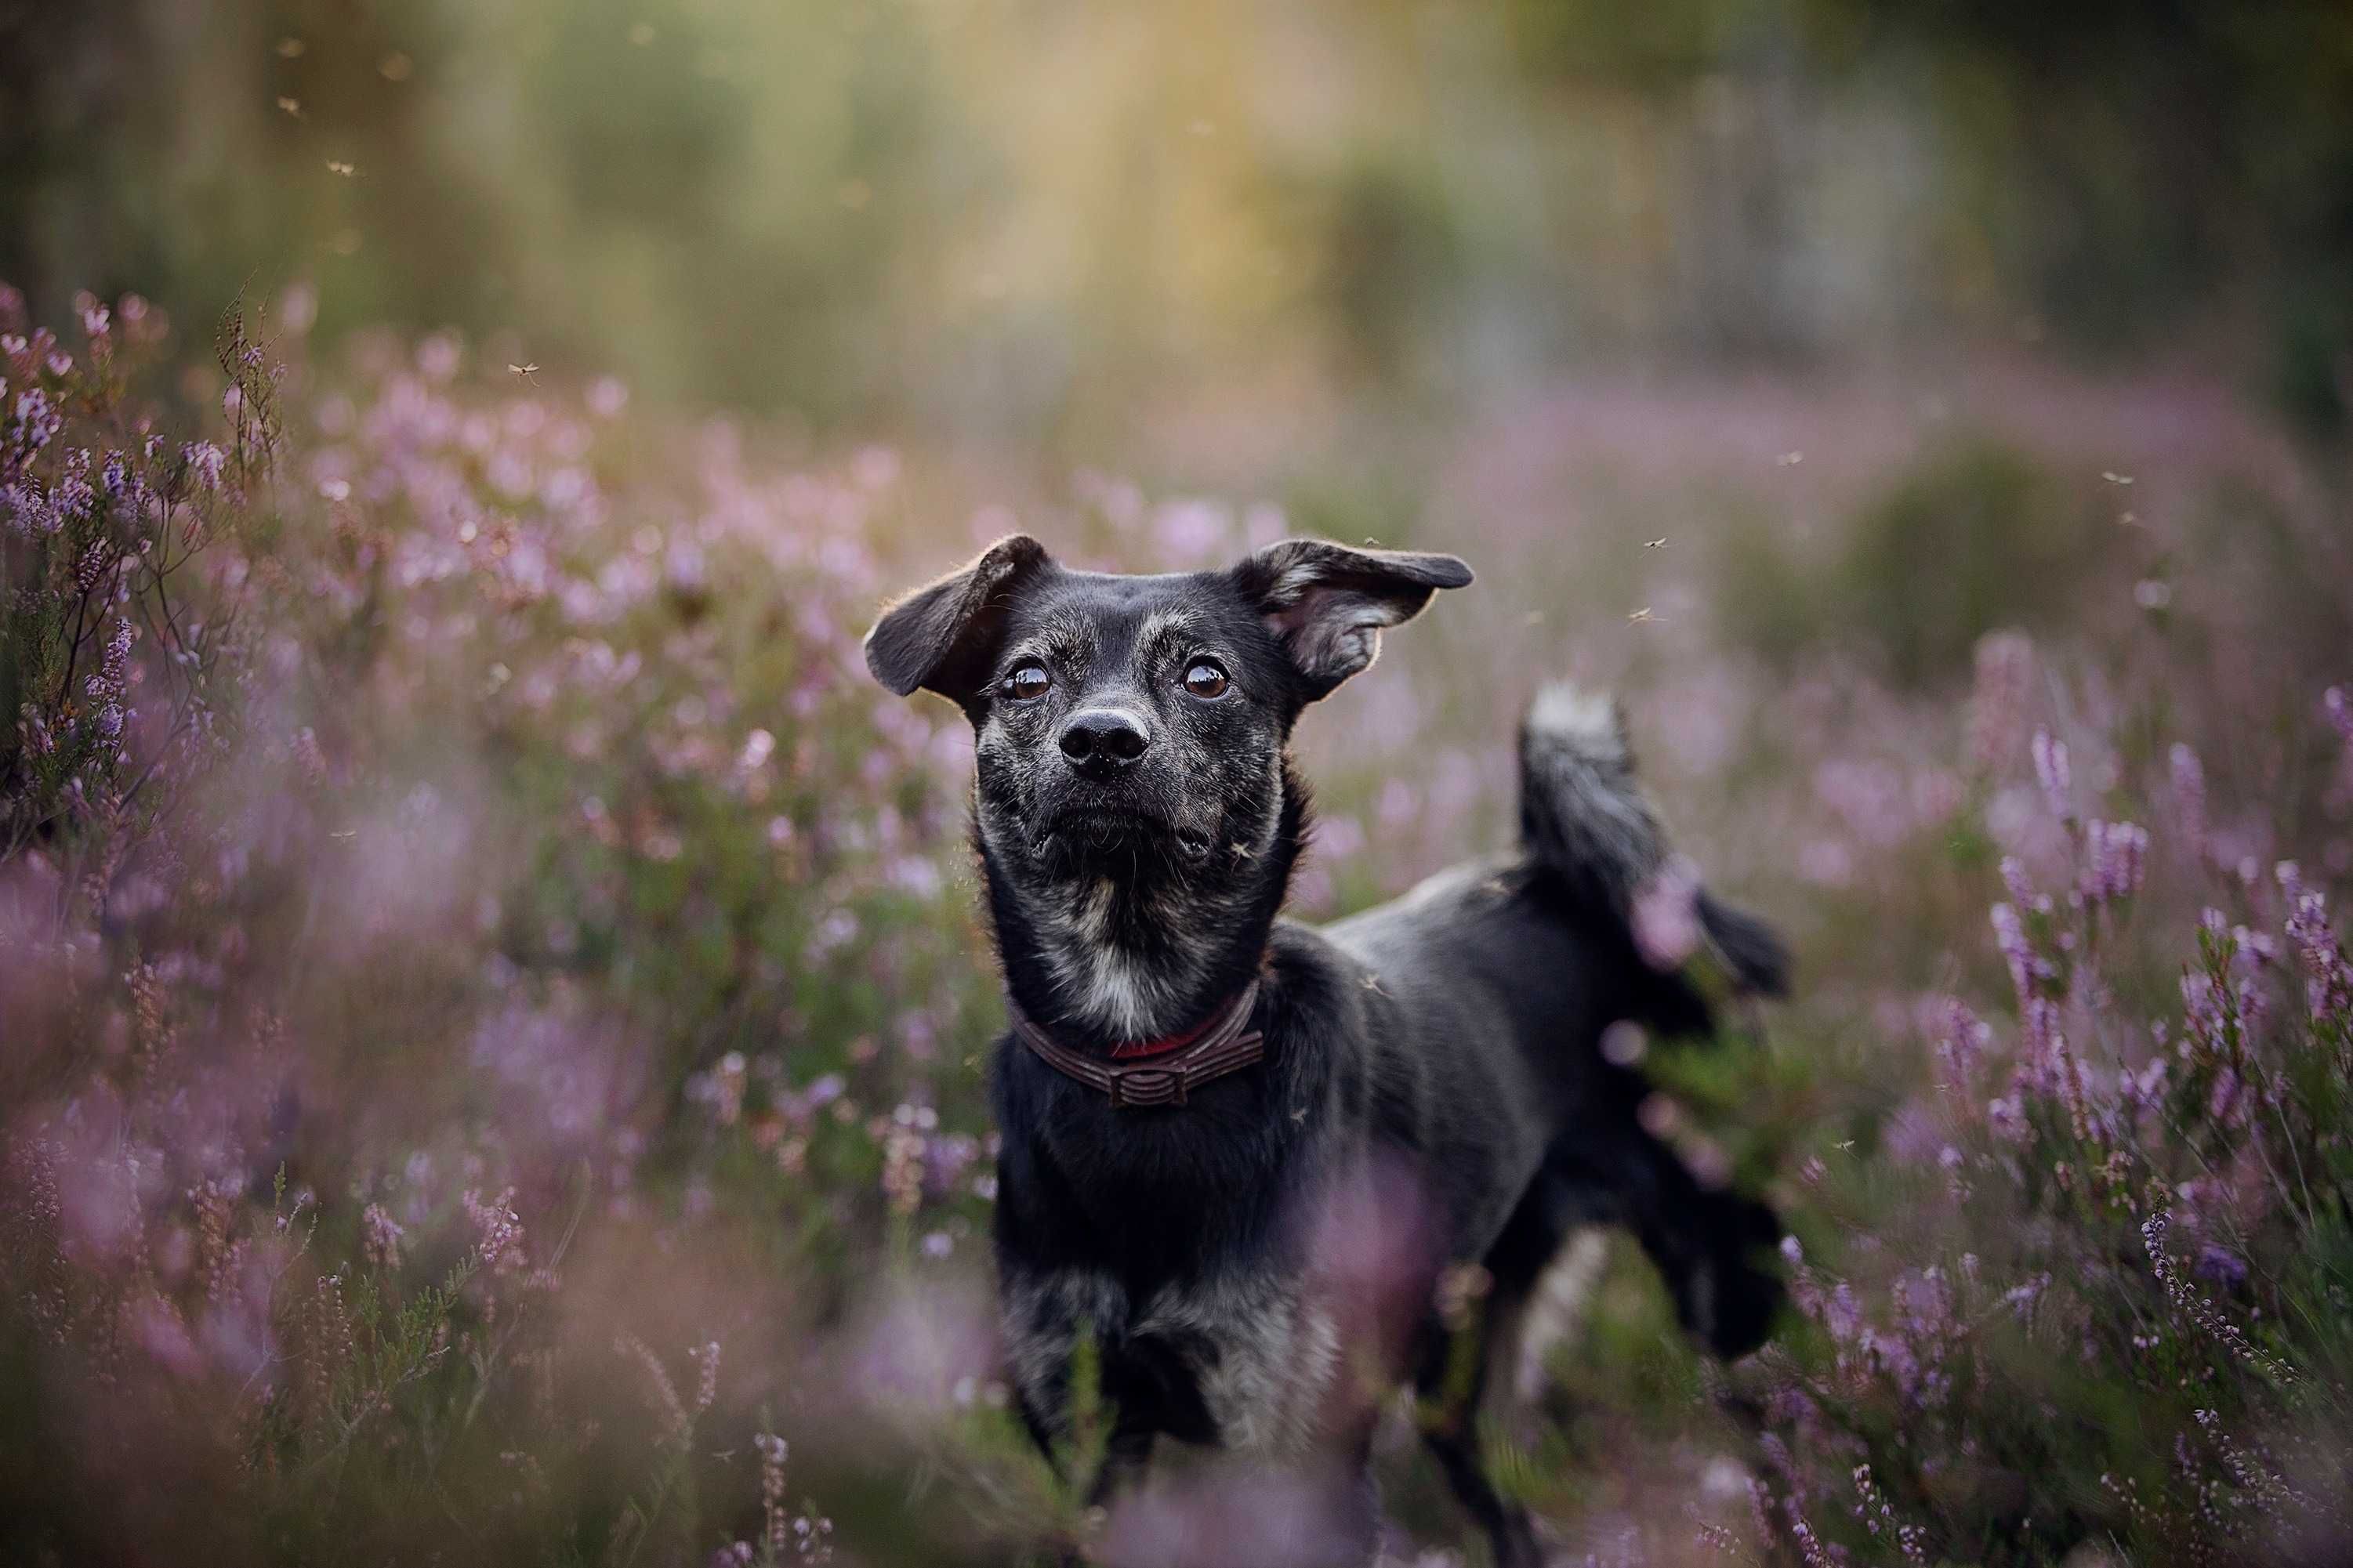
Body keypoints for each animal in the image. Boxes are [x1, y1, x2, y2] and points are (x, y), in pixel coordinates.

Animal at [865, 534, 1778, 1561]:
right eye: (1025, 679)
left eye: (1205, 675)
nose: (1101, 741)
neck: (1144, 1055)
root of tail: (1555, 876)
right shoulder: (1086, 1442)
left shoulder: (1300, 1452)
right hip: (1460, 1384)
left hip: (1726, 1292)